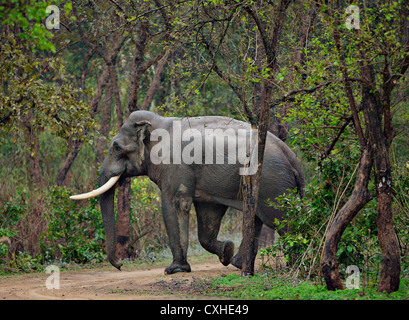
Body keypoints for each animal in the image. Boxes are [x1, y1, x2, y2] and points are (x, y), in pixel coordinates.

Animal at [70, 111, 302, 274]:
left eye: (117, 147)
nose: (120, 265)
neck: (161, 123)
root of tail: (292, 158)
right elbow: (208, 217)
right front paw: (226, 251)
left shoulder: (175, 167)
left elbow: (173, 205)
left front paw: (174, 270)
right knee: (255, 218)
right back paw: (238, 265)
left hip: (273, 184)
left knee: (283, 222)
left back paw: (293, 266)